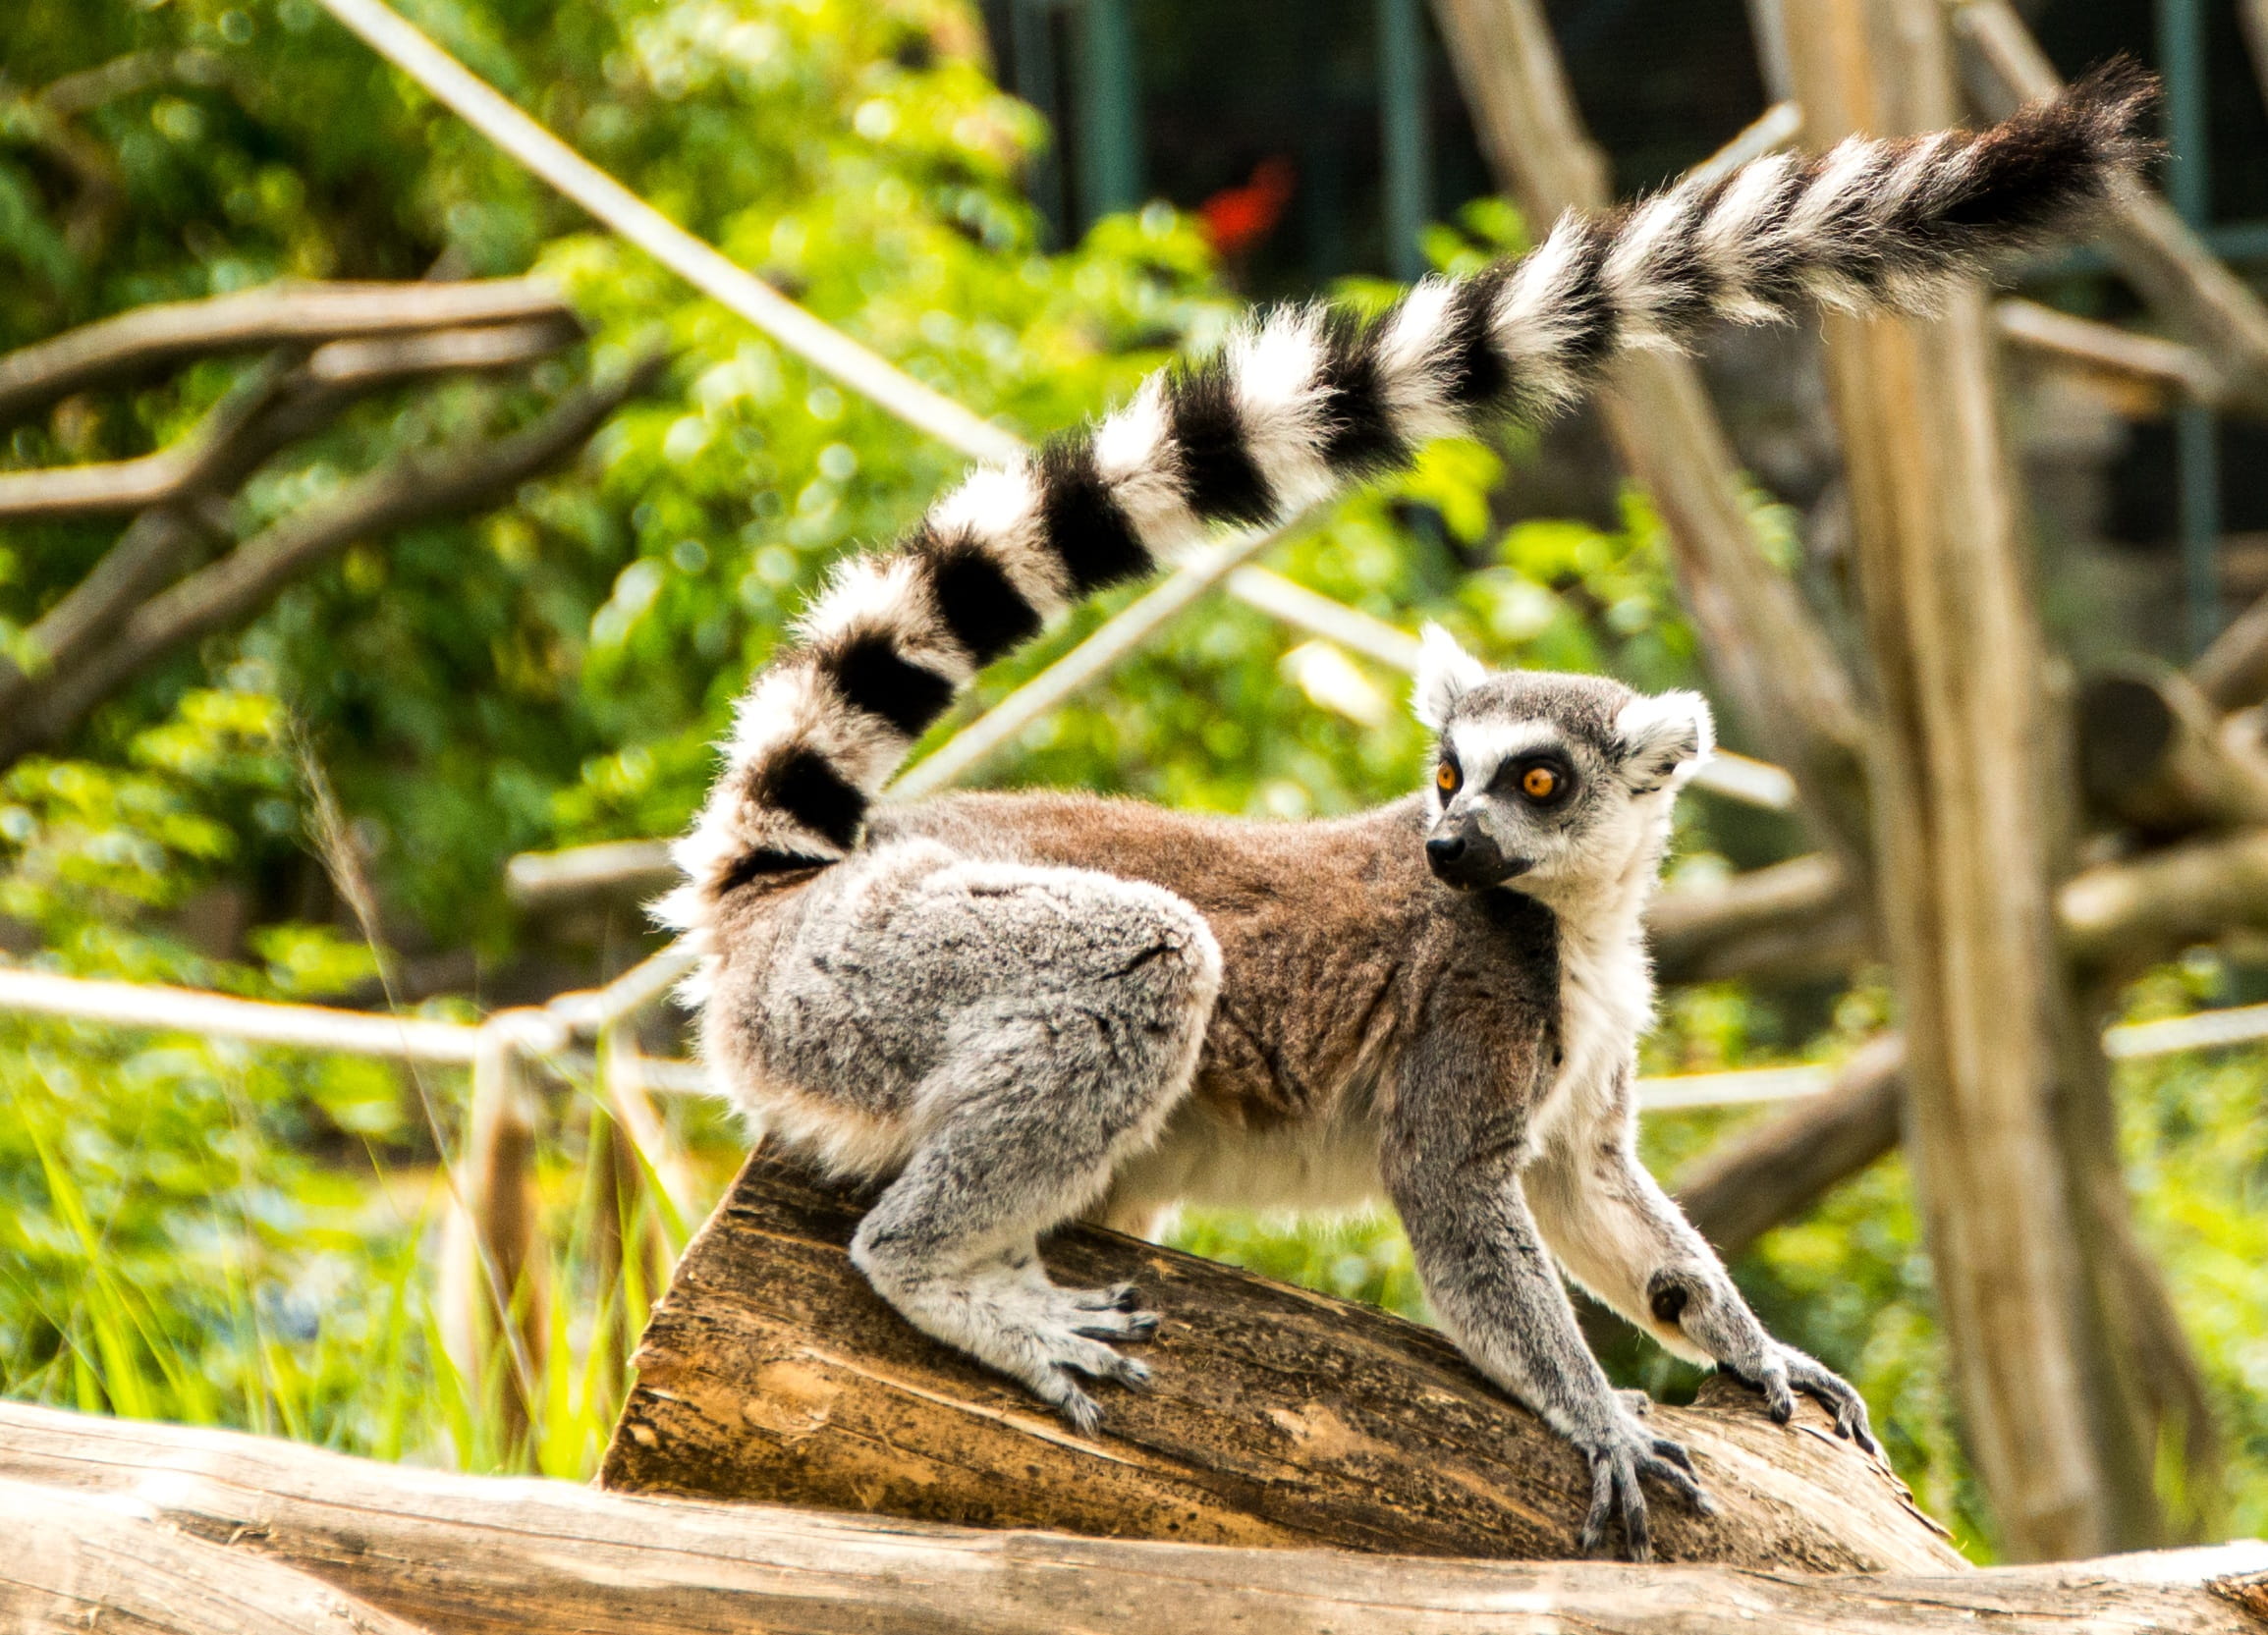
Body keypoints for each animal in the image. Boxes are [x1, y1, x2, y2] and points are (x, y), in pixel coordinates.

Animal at [658, 67, 2151, 1559]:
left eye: (1534, 780)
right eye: (1444, 774)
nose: (1444, 846)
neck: (1570, 921)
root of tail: (788, 892)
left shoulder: (1581, 1048)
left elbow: (1591, 1187)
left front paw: (1749, 1347)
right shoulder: (1473, 1002)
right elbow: (1454, 1199)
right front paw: (1601, 1420)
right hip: (879, 969)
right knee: (1139, 957)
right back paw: (942, 1271)